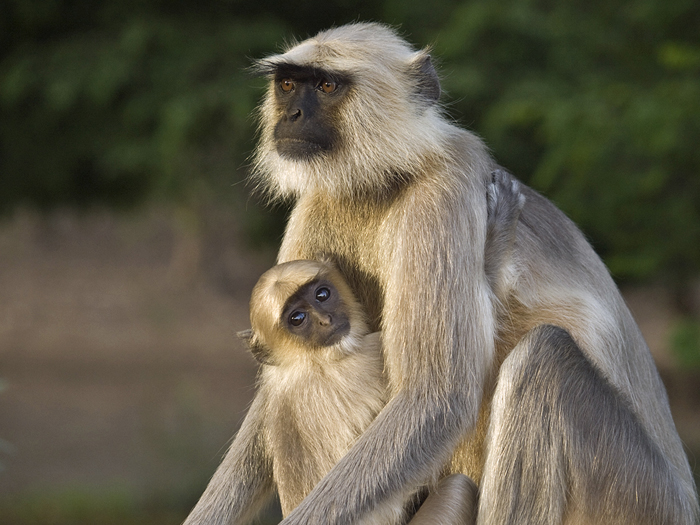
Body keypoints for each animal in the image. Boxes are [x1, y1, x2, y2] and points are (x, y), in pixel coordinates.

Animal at [186, 23, 699, 525]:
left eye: (327, 86)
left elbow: (438, 397)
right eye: (288, 84)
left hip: (641, 497)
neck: (386, 178)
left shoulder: (446, 190)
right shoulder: (318, 203)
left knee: (543, 358)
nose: (291, 115)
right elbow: (279, 374)